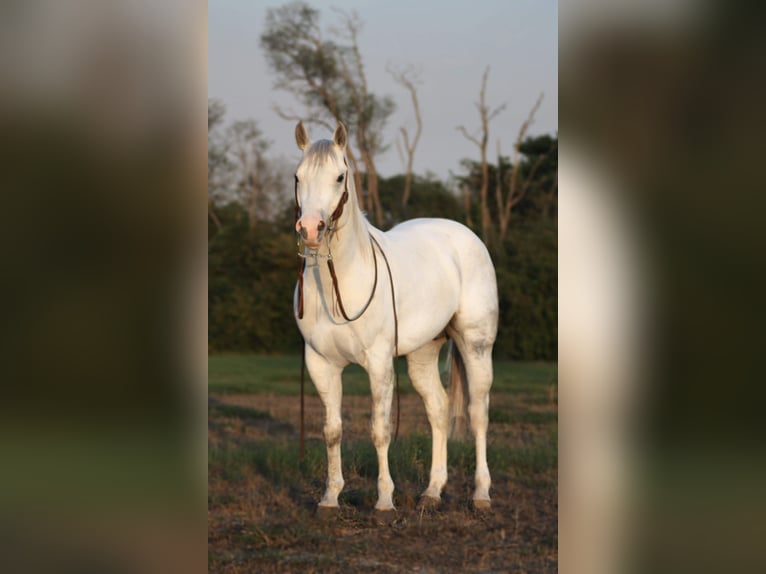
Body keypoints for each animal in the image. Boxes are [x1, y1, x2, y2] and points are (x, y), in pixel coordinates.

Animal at [292, 122, 498, 512]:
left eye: (339, 176)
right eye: (297, 176)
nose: (311, 229)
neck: (340, 282)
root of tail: (467, 236)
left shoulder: (378, 363)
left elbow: (380, 430)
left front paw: (385, 501)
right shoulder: (320, 363)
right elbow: (332, 431)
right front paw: (330, 497)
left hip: (476, 345)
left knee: (478, 412)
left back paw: (481, 493)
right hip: (422, 354)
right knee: (438, 410)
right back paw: (432, 492)